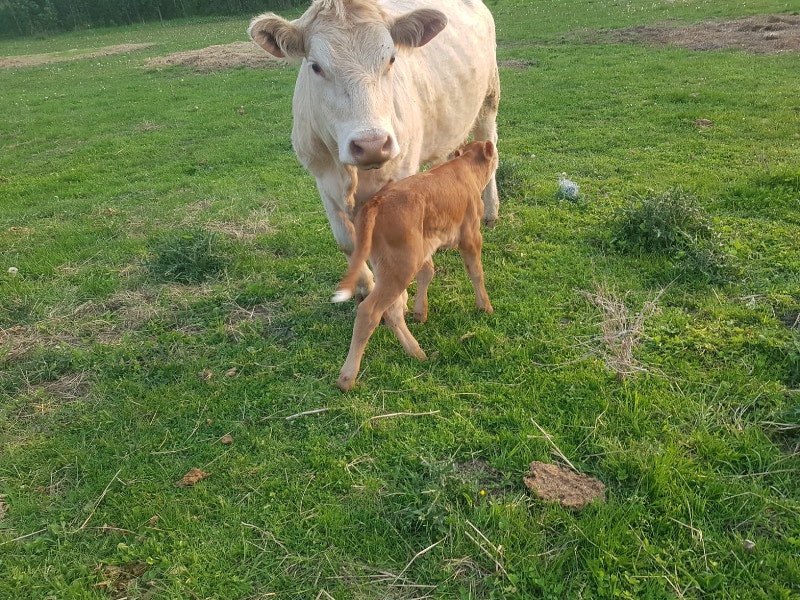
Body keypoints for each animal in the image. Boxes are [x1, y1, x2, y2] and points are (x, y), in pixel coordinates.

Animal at [248, 0, 500, 299]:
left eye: (391, 59)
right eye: (316, 67)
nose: (372, 145)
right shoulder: (323, 179)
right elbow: (346, 241)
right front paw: (365, 287)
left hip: (488, 101)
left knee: (491, 151)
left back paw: (491, 212)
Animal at [331, 140, 497, 391]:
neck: (465, 168)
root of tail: (376, 202)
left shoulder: (426, 244)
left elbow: (427, 273)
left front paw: (420, 312)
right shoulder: (470, 235)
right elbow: (476, 272)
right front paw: (485, 306)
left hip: (390, 264)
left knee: (391, 310)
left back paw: (416, 351)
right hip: (403, 263)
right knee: (370, 310)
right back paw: (347, 378)